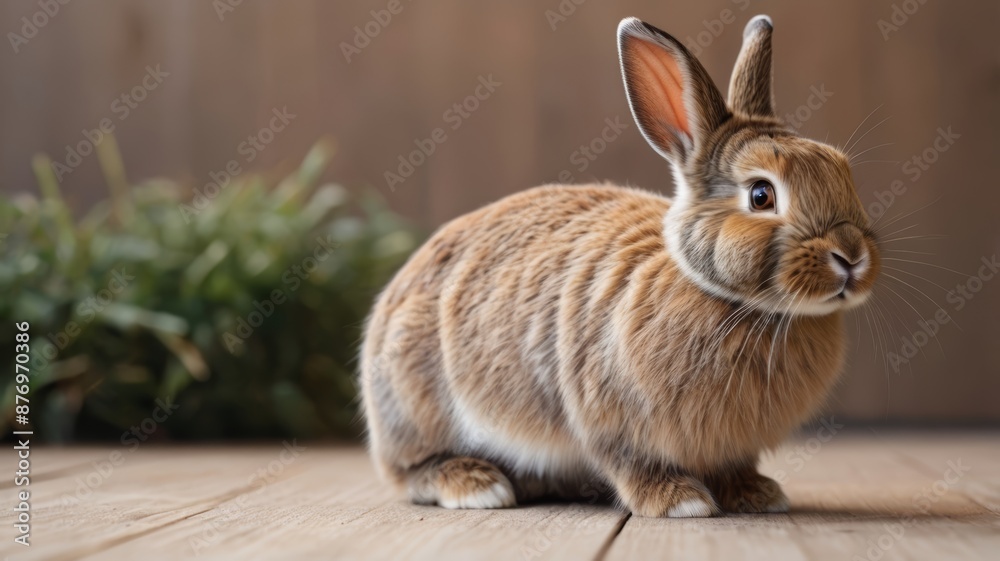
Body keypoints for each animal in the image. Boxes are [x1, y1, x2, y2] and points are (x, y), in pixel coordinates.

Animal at [359, 14, 879, 517]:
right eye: (761, 195)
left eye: (843, 170)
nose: (852, 257)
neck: (740, 306)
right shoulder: (608, 419)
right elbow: (631, 463)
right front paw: (679, 501)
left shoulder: (729, 447)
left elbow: (734, 467)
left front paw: (759, 494)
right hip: (416, 403)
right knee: (412, 471)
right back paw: (478, 485)